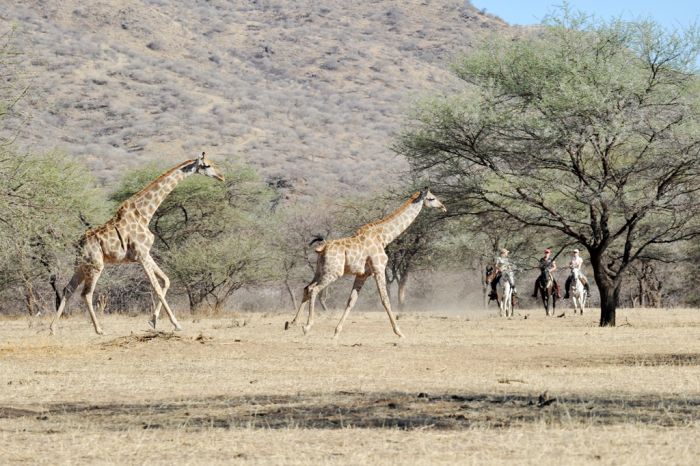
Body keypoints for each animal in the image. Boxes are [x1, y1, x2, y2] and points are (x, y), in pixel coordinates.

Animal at [49, 153, 224, 334]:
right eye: (207, 165)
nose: (222, 177)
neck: (144, 214)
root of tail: (79, 243)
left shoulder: (146, 253)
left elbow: (166, 281)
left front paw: (153, 321)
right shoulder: (141, 255)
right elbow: (156, 287)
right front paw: (176, 324)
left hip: (81, 265)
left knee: (68, 289)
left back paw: (52, 328)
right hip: (96, 265)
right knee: (86, 293)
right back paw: (99, 329)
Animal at [286, 188, 446, 338]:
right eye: (432, 198)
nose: (443, 207)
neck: (384, 237)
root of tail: (322, 248)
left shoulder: (362, 274)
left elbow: (351, 301)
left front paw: (337, 332)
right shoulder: (379, 269)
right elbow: (385, 299)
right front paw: (399, 332)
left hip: (320, 270)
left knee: (307, 288)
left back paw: (291, 323)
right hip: (333, 272)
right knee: (314, 290)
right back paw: (307, 326)